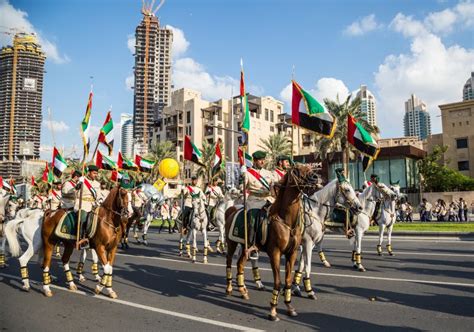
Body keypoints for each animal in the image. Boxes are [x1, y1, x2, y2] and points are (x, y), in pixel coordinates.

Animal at [225, 165, 318, 322]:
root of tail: (232, 210)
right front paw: (273, 311)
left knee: (240, 264)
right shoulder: (275, 253)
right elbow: (278, 282)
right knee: (229, 263)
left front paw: (289, 307)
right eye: (297, 170)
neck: (286, 220)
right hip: (231, 244)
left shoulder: (292, 253)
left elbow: (288, 280)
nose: (316, 178)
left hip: (245, 246)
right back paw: (229, 288)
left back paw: (243, 290)